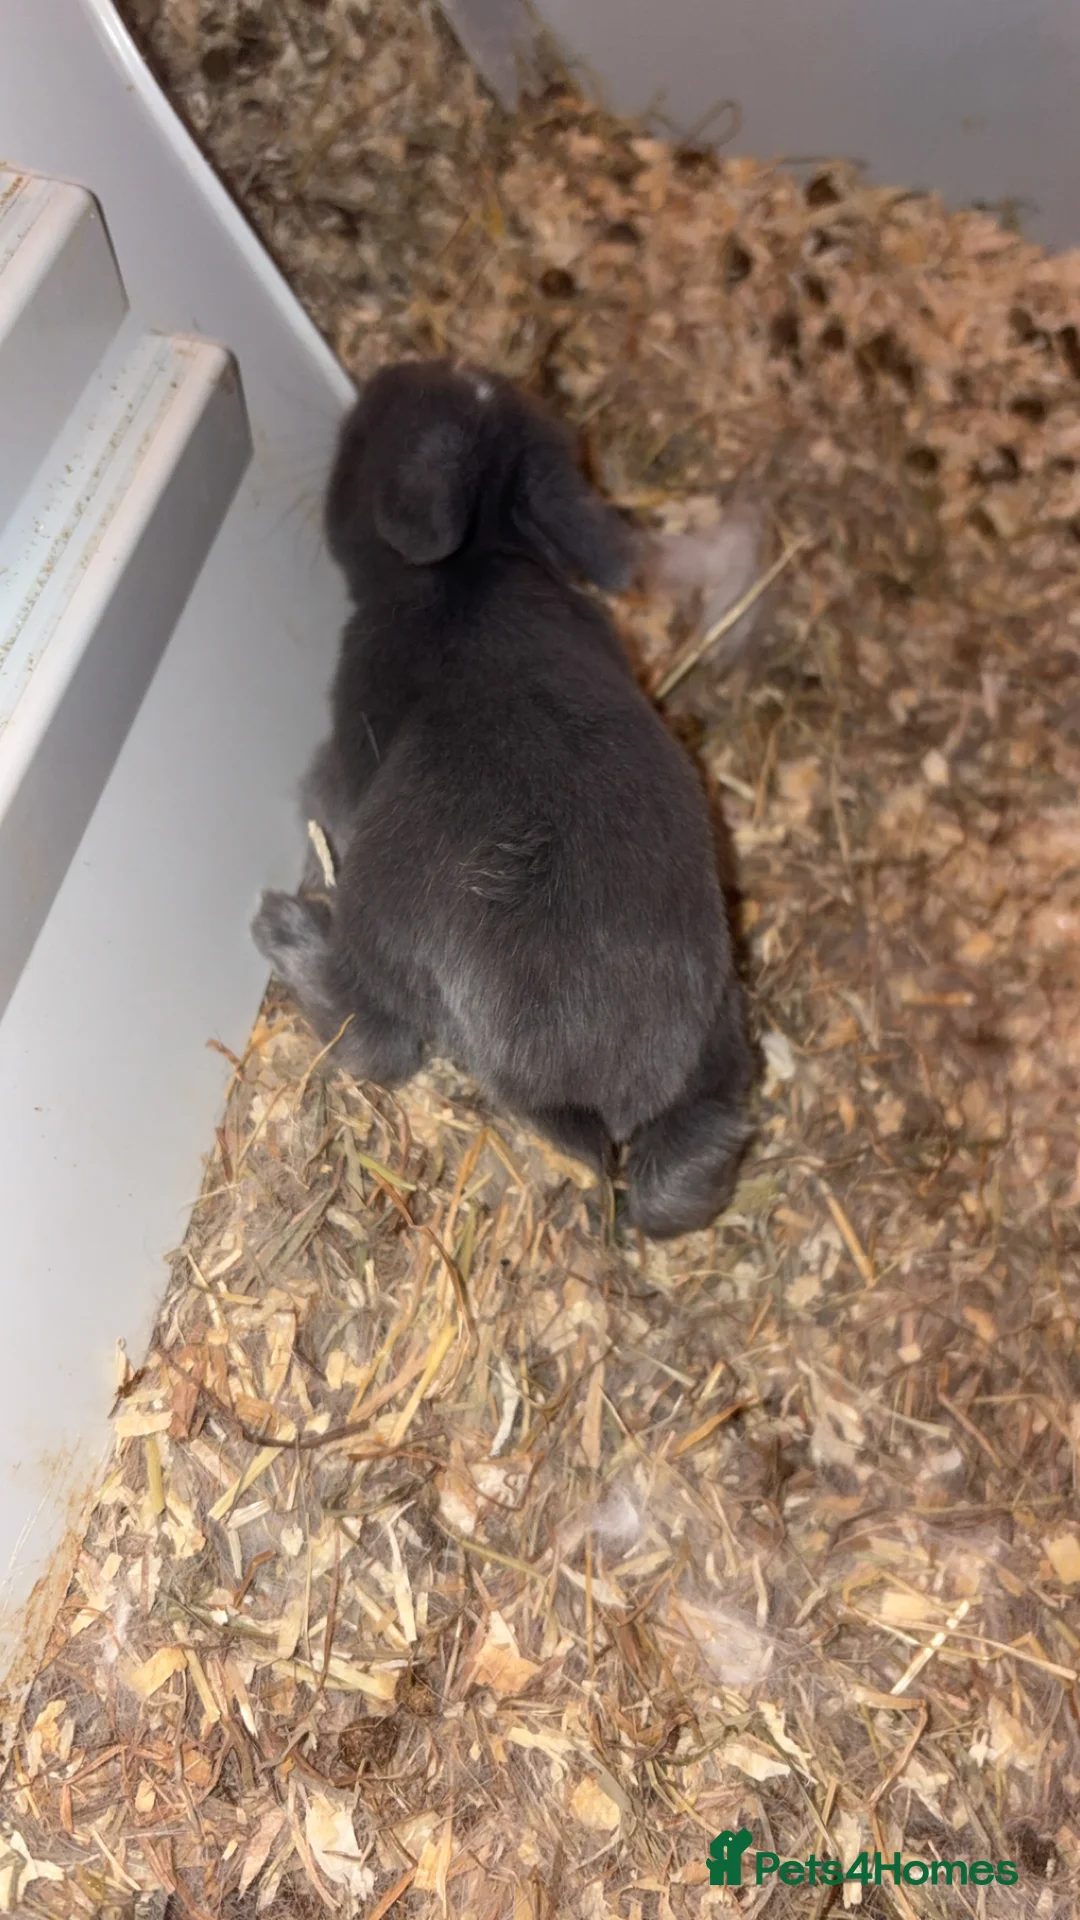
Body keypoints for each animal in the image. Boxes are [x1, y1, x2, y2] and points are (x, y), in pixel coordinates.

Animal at [252, 360, 754, 1239]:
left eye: (366, 429)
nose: (378, 375)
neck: (475, 564)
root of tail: (603, 1083)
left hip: (382, 928)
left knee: (377, 1038)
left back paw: (285, 930)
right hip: (720, 1024)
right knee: (693, 1155)